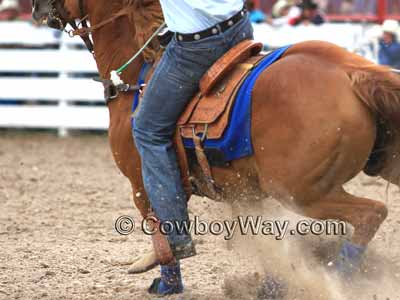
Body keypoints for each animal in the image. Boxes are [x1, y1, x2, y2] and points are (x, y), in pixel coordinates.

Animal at [32, 0, 400, 282]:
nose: (36, 8)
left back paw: (340, 276)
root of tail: (350, 73)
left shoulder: (141, 180)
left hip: (301, 190)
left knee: (372, 214)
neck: (137, 76)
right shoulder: (244, 193)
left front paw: (165, 277)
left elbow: (161, 227)